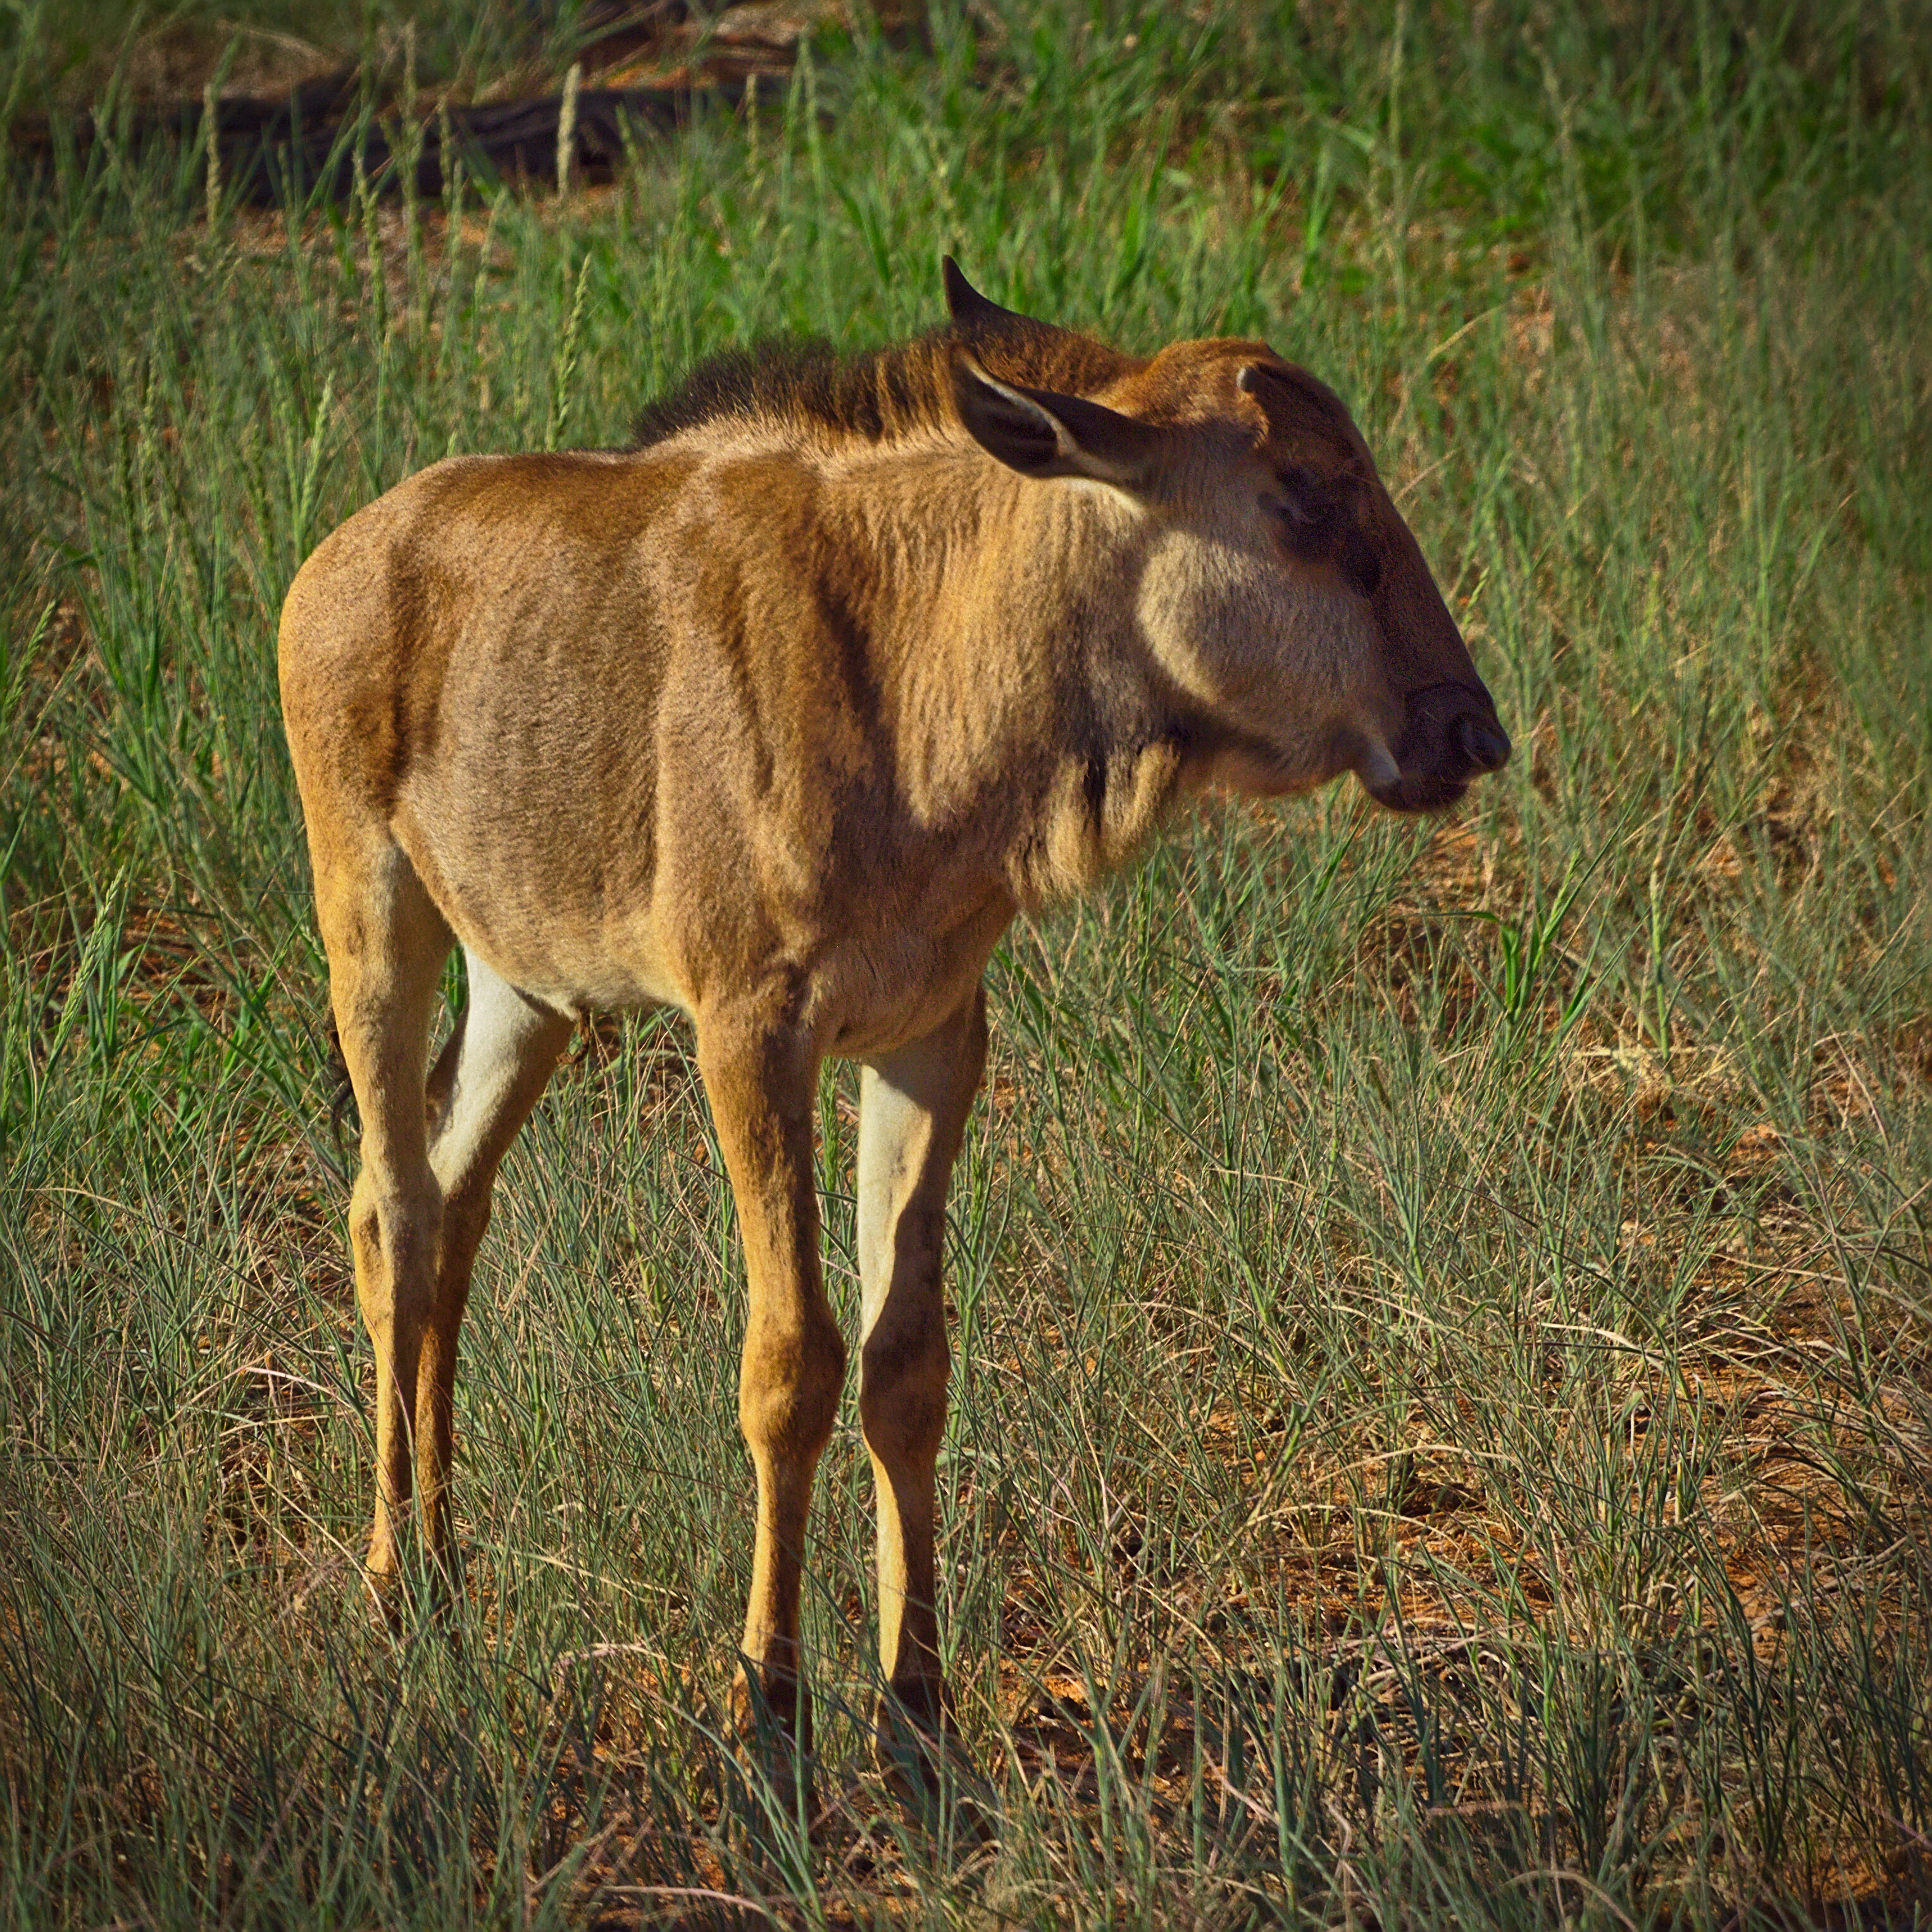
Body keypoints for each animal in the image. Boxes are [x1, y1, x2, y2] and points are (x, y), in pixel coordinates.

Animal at [278, 258, 1509, 1788]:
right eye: (1296, 495)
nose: (1467, 730)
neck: (921, 665)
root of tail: (333, 560)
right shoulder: (750, 1033)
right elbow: (790, 1360)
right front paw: (765, 1699)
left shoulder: (930, 1034)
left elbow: (905, 1362)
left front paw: (915, 1709)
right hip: (371, 911)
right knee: (388, 1213)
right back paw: (391, 1582)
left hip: (530, 987)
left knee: (448, 1206)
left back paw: (448, 1569)